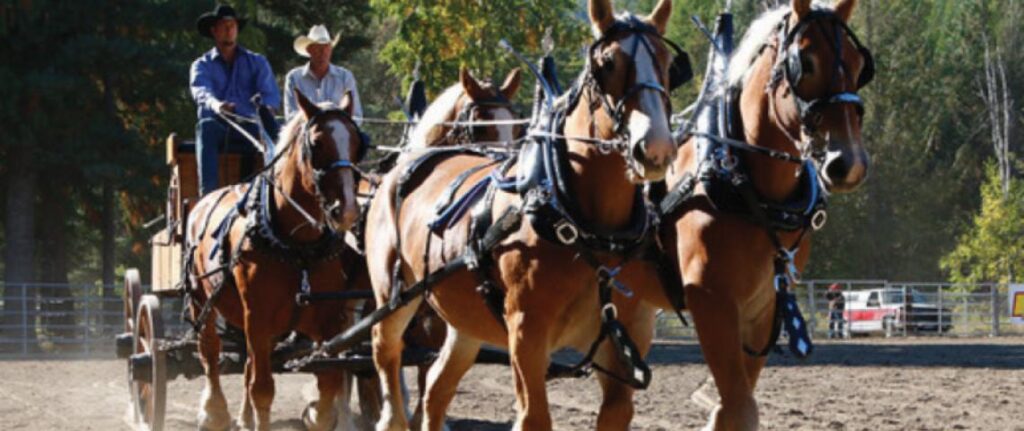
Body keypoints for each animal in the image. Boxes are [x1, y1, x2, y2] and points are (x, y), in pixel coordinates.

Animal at [186, 89, 366, 431]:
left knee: (247, 366)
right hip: (201, 300)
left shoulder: (327, 322)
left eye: (355, 142)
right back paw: (214, 411)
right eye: (317, 143)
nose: (347, 209)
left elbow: (329, 385)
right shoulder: (257, 318)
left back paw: (243, 417)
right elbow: (262, 389)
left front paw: (317, 413)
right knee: (210, 352)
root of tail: (201, 202)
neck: (297, 247)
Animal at [364, 0, 679, 429]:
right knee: (387, 357)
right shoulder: (526, 334)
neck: (582, 226)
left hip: (465, 323)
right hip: (393, 297)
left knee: (437, 390)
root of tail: (410, 162)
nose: (656, 147)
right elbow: (534, 416)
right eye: (608, 62)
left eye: (665, 61)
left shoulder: (623, 343)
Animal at [661, 0, 872, 429]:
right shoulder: (709, 300)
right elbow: (739, 408)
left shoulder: (763, 308)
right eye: (805, 61)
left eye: (861, 65)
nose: (850, 163)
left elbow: (735, 407)